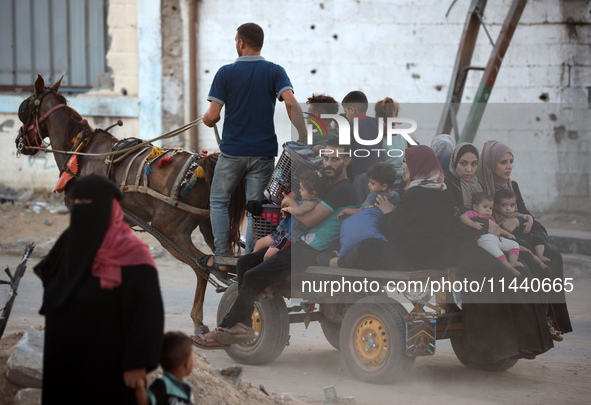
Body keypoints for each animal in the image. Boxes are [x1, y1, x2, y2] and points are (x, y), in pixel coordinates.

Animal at [14, 74, 245, 332]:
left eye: (23, 109)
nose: (18, 141)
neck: (80, 151)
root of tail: (203, 162)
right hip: (209, 226)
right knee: (227, 262)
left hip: (171, 232)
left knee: (201, 265)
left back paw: (200, 319)